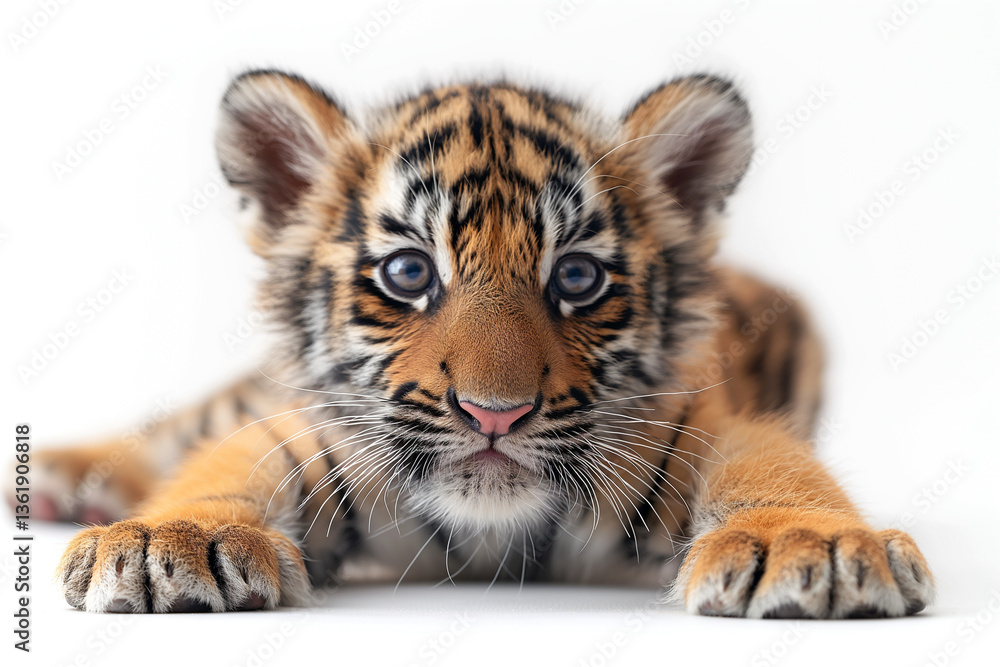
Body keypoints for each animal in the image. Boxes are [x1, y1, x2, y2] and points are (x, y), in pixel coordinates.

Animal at [33, 70, 934, 618]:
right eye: (407, 272)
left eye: (576, 277)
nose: (493, 414)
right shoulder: (312, 432)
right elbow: (224, 463)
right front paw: (168, 539)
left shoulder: (697, 426)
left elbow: (773, 469)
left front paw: (812, 544)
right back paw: (56, 480)